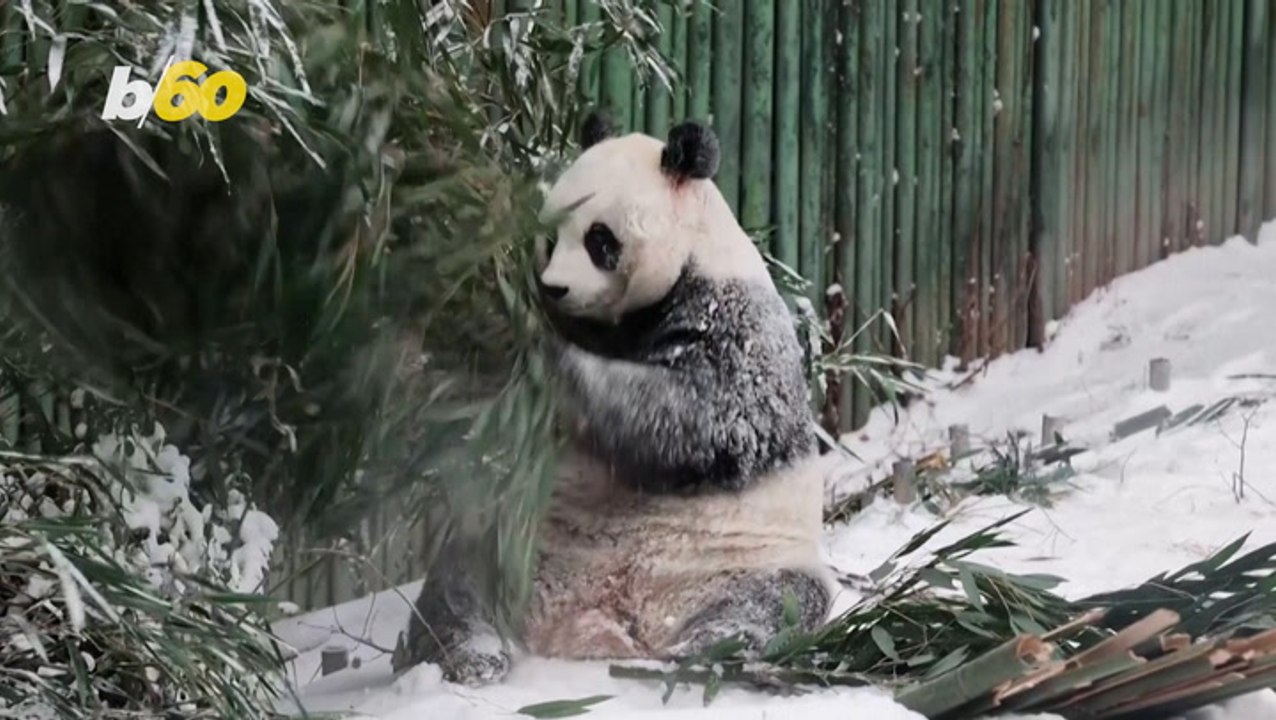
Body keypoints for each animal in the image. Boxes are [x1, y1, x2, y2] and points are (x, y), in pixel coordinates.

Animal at [394, 111, 837, 686]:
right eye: (549, 236)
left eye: (599, 239)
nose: (553, 287)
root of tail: (593, 621)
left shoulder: (734, 318)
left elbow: (705, 414)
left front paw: (540, 354)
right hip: (510, 545)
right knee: (455, 592)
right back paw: (469, 656)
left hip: (744, 561)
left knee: (773, 603)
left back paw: (706, 647)